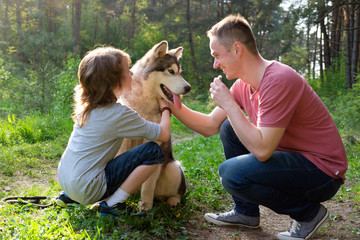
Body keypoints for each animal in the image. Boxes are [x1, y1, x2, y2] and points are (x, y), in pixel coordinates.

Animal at [117, 40, 191, 210]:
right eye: (171, 71)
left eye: (179, 72)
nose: (188, 88)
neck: (143, 107)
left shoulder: (155, 146)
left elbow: (148, 184)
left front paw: (145, 207)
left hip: (173, 168)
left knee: (178, 193)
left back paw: (172, 200)